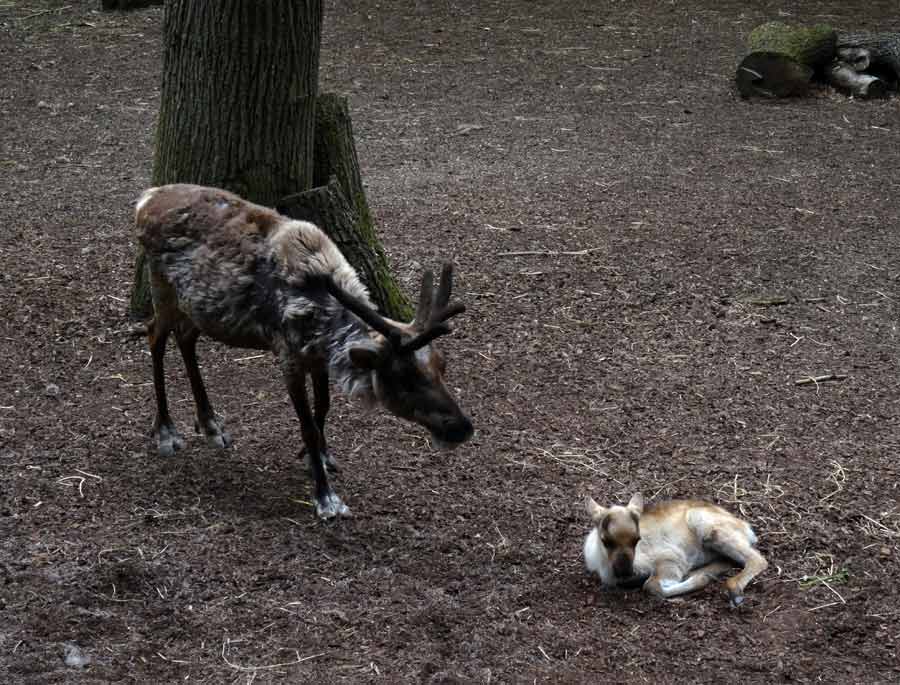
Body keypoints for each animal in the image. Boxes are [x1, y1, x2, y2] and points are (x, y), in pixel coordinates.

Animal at [137, 184, 474, 516]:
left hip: (196, 307)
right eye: (404, 377)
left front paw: (320, 457)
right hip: (162, 287)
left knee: (185, 338)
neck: (320, 314)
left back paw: (211, 424)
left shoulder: (318, 357)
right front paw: (326, 497)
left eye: (442, 364)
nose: (463, 428)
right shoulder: (289, 357)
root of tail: (145, 200)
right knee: (155, 335)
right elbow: (308, 424)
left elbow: (323, 407)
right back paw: (166, 431)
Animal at [584, 492, 768, 604]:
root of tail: (746, 527)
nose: (624, 571)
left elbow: (651, 585)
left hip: (704, 524)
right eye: (605, 541)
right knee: (730, 561)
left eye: (637, 539)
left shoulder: (670, 557)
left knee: (758, 559)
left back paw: (734, 592)